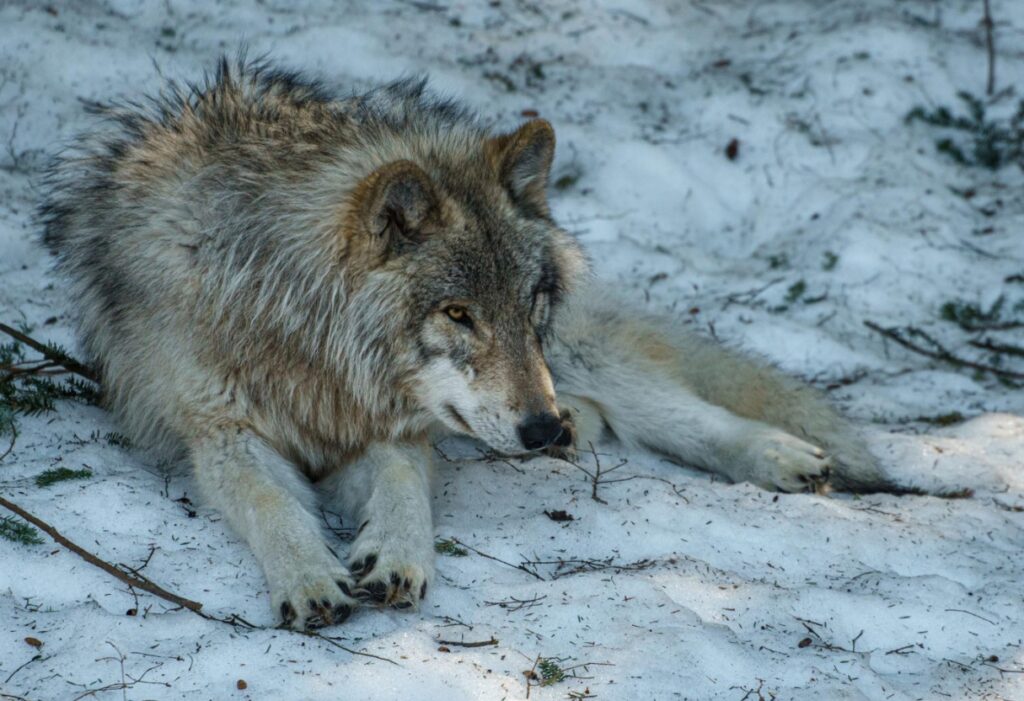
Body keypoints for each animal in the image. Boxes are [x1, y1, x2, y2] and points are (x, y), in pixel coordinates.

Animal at [36, 57, 892, 630]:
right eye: (457, 313)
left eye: (526, 302)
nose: (539, 428)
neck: (306, 337)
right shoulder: (221, 432)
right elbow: (271, 503)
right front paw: (311, 576)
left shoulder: (389, 424)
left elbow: (404, 486)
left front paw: (398, 556)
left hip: (571, 355)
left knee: (677, 409)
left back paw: (778, 454)